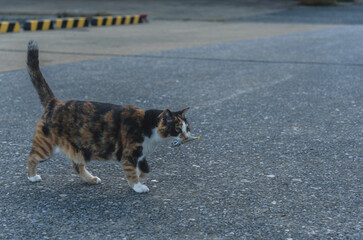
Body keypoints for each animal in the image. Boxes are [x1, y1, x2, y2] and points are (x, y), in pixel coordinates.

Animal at [26, 41, 192, 193]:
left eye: (187, 128)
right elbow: (131, 172)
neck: (147, 125)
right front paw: (137, 186)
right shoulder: (129, 154)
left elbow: (144, 168)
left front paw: (142, 177)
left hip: (79, 148)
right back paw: (32, 177)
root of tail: (54, 102)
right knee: (32, 157)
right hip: (46, 145)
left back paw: (91, 179)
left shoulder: (140, 155)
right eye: (178, 129)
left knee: (76, 166)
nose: (187, 136)